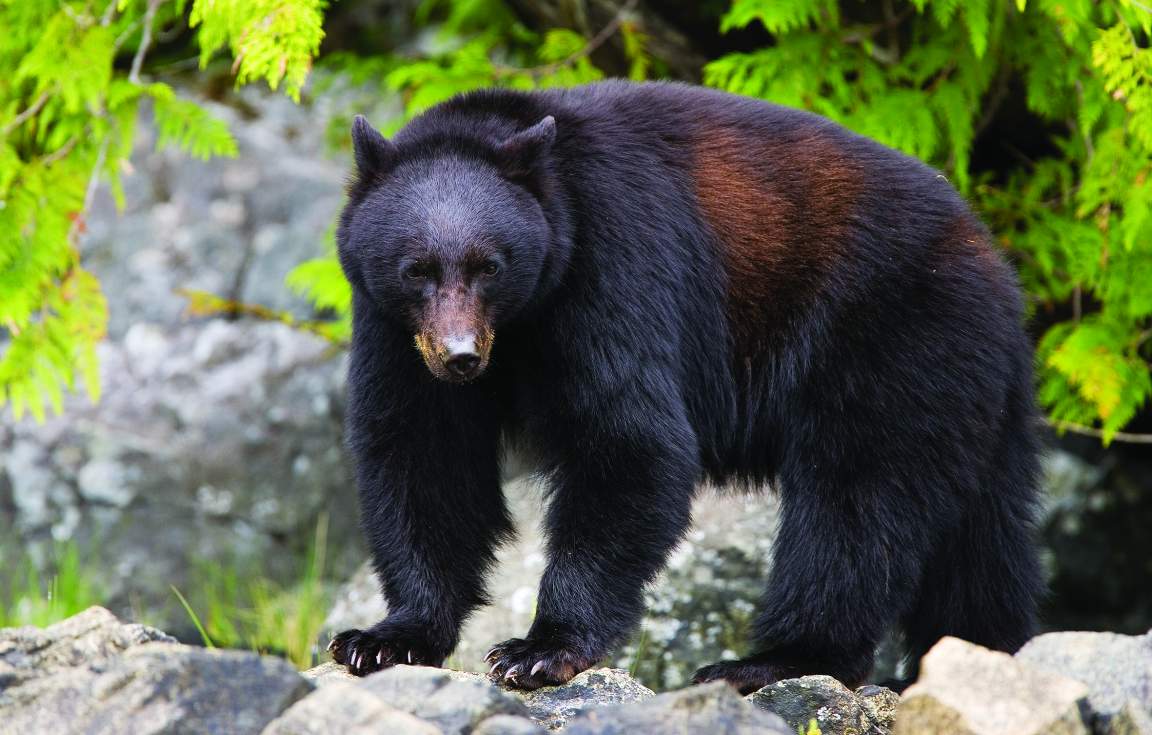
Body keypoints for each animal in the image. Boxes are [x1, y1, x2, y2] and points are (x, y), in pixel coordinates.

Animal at [327, 81, 1046, 695]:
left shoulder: (613, 263)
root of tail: (994, 259)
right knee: (980, 542)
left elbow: (630, 443)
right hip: (969, 386)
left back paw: (774, 658)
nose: (460, 356)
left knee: (855, 503)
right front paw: (387, 636)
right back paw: (980, 652)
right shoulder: (393, 331)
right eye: (416, 269)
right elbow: (421, 452)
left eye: (489, 266)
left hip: (891, 335)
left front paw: (540, 648)